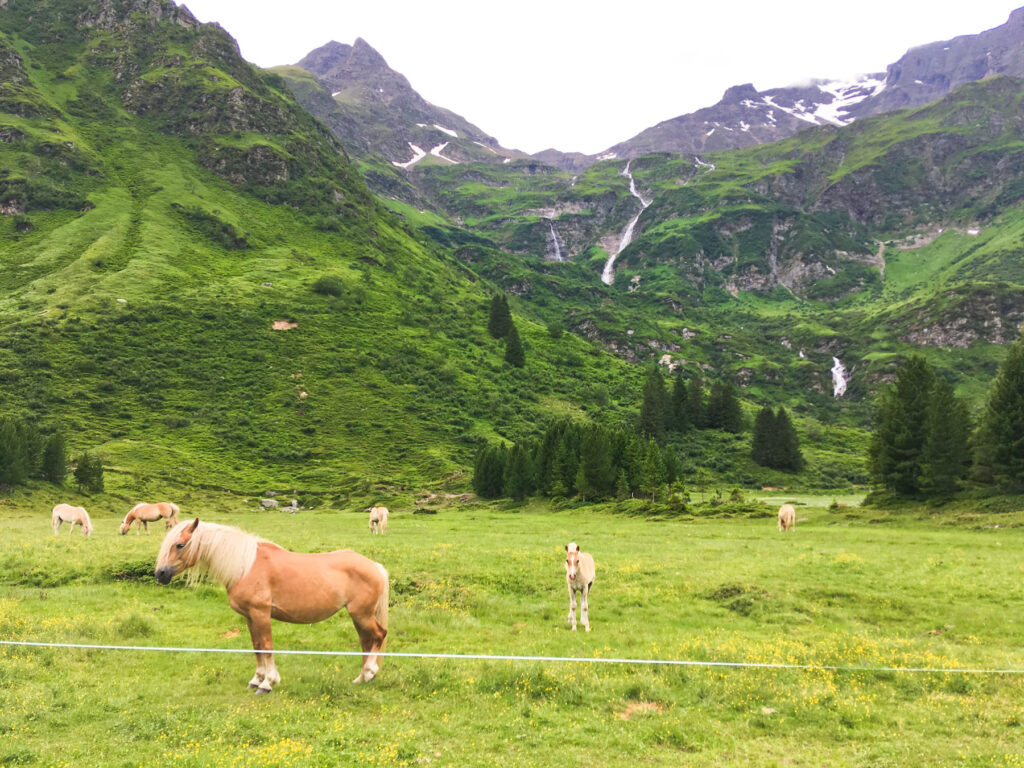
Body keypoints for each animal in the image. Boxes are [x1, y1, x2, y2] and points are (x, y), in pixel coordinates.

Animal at [154, 520, 387, 696]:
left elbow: (267, 646)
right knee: (366, 642)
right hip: (358, 616)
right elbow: (257, 646)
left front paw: (268, 683)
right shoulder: (249, 617)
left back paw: (370, 670)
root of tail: (375, 566)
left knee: (379, 635)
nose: (160, 574)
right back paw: (362, 678)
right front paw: (256, 680)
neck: (245, 566)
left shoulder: (261, 614)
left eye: (180, 545)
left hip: (361, 614)